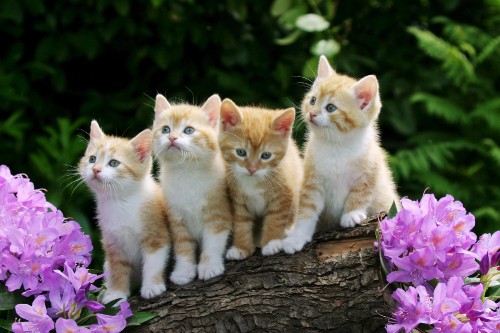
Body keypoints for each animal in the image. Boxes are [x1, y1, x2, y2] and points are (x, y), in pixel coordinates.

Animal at [79, 120, 171, 302]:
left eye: (114, 163)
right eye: (92, 159)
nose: (95, 169)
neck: (120, 202)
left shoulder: (156, 233)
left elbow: (153, 262)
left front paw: (152, 286)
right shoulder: (113, 243)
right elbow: (117, 269)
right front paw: (116, 295)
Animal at [152, 94, 232, 286]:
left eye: (188, 130)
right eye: (165, 129)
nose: (172, 137)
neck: (186, 172)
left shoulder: (219, 213)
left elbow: (213, 243)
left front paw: (209, 267)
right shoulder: (176, 218)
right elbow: (183, 248)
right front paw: (183, 271)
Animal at [218, 98, 300, 260]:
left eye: (266, 155)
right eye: (241, 152)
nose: (252, 169)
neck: (253, 181)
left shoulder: (283, 195)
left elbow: (275, 219)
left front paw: (272, 243)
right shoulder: (237, 200)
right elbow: (241, 223)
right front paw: (241, 248)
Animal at [286, 54, 398, 253]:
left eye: (331, 108)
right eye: (313, 100)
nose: (312, 114)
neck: (336, 146)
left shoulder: (371, 168)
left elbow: (361, 192)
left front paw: (352, 214)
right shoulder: (311, 181)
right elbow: (306, 210)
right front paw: (297, 237)